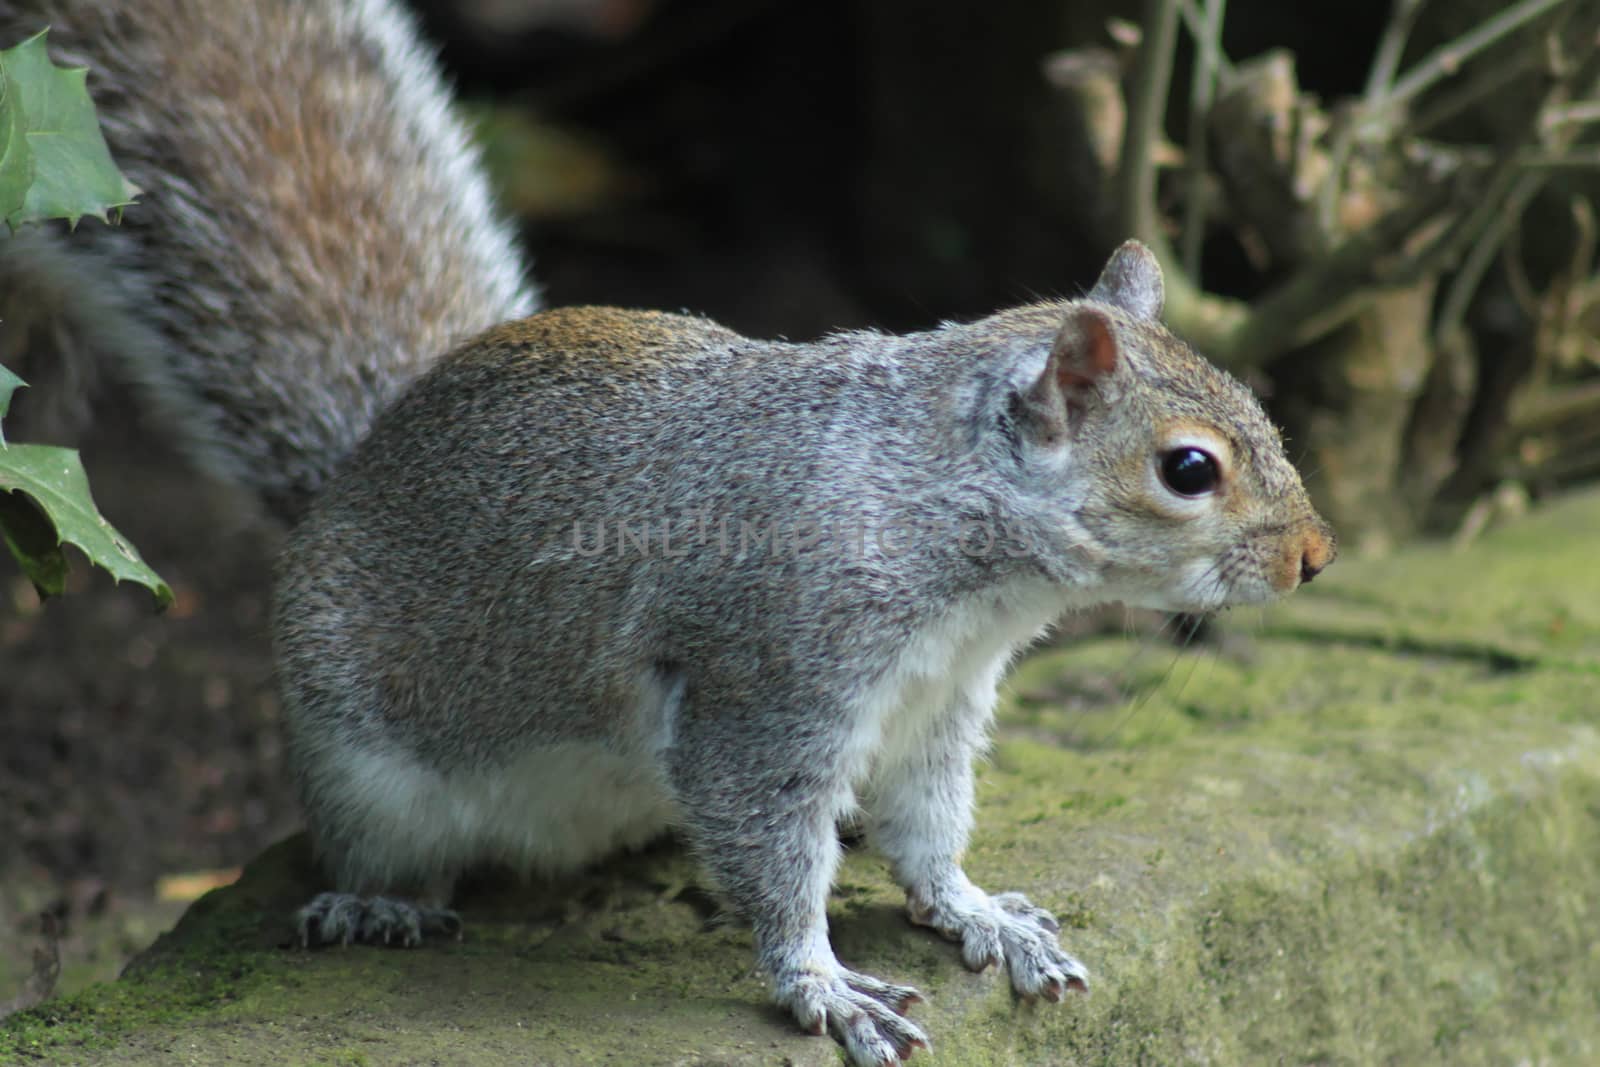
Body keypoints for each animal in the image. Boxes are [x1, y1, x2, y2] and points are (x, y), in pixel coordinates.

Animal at [0, 2, 1337, 1067]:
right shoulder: (774, 677)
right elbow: (771, 837)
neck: (948, 531)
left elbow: (926, 827)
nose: (1314, 556)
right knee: (373, 843)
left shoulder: (938, 704)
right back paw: (373, 906)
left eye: (1253, 399)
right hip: (357, 751)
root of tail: (353, 467)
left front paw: (977, 911)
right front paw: (821, 981)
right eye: (1188, 468)